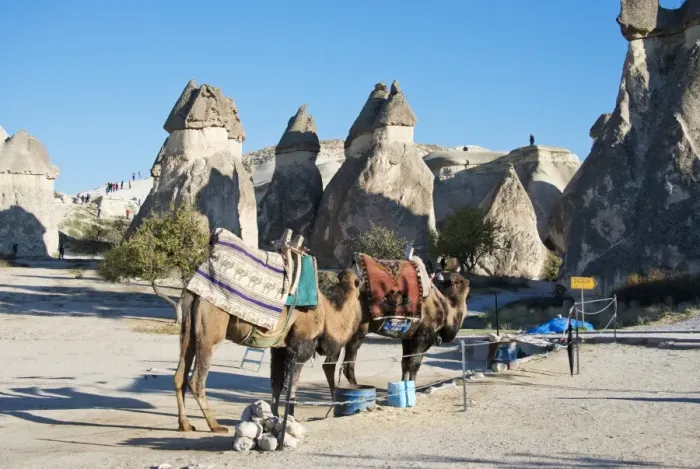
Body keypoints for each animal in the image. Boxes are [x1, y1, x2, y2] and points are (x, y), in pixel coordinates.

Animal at [174, 268, 363, 433]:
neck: (326, 314)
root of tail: (193, 293)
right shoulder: (301, 343)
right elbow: (292, 384)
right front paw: (291, 418)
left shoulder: (280, 347)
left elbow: (276, 383)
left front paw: (275, 417)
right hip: (210, 334)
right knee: (196, 380)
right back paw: (215, 425)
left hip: (189, 333)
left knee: (180, 375)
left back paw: (185, 424)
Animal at [321, 271, 470, 397]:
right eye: (459, 282)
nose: (468, 281)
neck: (444, 306)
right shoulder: (424, 336)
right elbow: (414, 364)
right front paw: (413, 389)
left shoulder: (408, 337)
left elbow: (405, 363)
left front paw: (403, 387)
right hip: (357, 333)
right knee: (347, 366)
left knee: (330, 363)